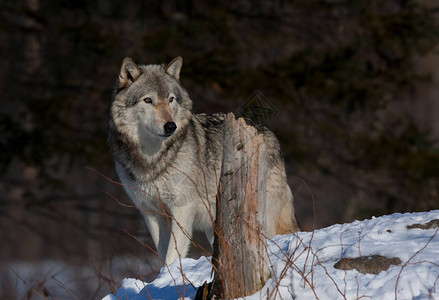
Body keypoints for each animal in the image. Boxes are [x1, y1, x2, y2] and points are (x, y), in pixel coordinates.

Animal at [108, 56, 300, 264]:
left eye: (170, 99)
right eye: (148, 100)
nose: (171, 126)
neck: (153, 159)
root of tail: (270, 134)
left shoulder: (182, 208)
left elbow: (173, 255)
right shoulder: (150, 212)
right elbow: (163, 252)